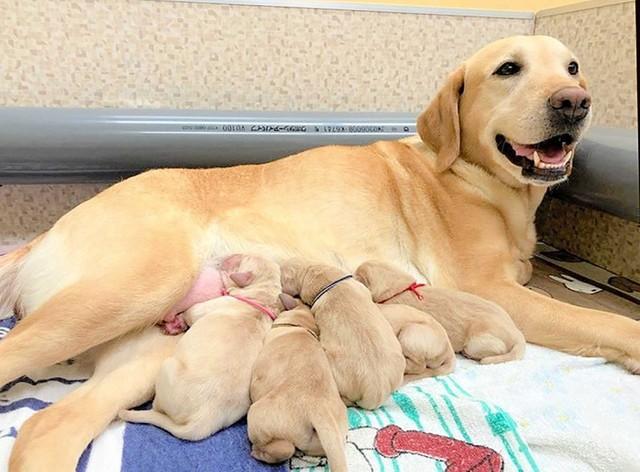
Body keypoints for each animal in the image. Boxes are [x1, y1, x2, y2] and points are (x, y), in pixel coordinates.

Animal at [120, 253, 280, 440]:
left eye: (242, 260)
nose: (230, 255)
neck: (261, 298)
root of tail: (202, 421)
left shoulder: (202, 308)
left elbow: (190, 313)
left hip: (167, 369)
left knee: (157, 407)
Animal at [250, 302, 348, 472]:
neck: (301, 327)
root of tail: (318, 409)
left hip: (258, 417)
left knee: (284, 448)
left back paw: (258, 452)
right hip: (328, 439)